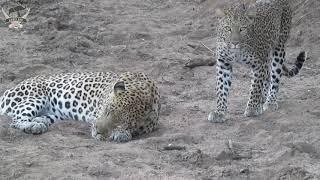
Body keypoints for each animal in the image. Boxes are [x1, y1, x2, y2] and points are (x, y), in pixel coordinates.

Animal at [0, 71, 160, 142]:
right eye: (107, 110)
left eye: (121, 123)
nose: (98, 130)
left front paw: (121, 133)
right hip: (36, 97)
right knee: (15, 120)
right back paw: (33, 126)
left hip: (55, 114)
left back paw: (39, 121)